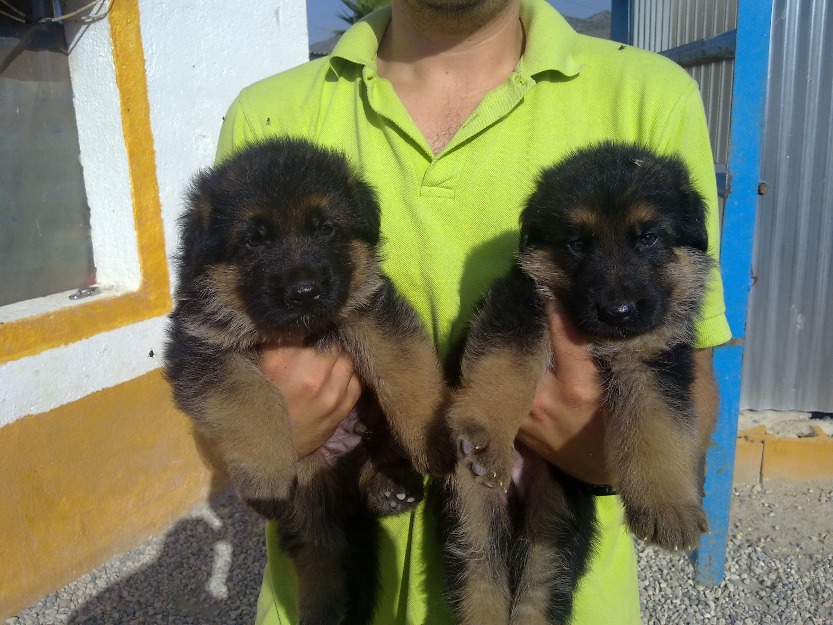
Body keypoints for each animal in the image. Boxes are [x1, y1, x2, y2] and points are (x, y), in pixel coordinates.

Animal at [162, 138, 448, 624]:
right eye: (254, 239)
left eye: (326, 228)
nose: (305, 291)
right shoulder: (205, 351)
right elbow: (251, 402)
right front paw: (265, 478)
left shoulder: (371, 311)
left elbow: (405, 368)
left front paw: (434, 439)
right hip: (311, 502)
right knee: (322, 561)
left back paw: (389, 487)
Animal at [446, 143, 712, 624]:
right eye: (577, 243)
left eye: (648, 238)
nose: (618, 311)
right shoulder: (520, 303)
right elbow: (505, 368)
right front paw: (486, 430)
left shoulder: (654, 358)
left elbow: (659, 426)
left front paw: (668, 505)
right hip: (472, 505)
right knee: (478, 575)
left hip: (555, 520)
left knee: (539, 587)